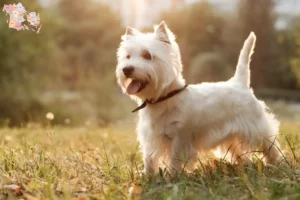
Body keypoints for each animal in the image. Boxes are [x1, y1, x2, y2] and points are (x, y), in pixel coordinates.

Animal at [116, 21, 282, 173]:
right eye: (128, 56)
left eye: (147, 55)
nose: (126, 69)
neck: (163, 98)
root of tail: (239, 83)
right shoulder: (150, 137)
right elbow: (149, 159)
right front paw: (148, 176)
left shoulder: (180, 137)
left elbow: (175, 159)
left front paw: (173, 177)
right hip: (231, 136)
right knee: (240, 152)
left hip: (256, 127)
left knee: (270, 144)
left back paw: (276, 164)